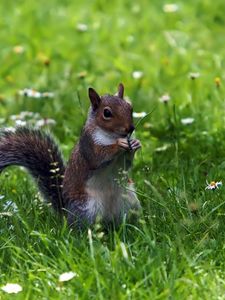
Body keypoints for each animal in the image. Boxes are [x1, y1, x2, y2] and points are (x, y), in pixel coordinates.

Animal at [0, 83, 141, 226]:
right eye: (107, 113)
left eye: (130, 107)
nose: (130, 128)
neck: (111, 136)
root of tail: (66, 212)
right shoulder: (88, 144)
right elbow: (98, 157)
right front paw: (119, 144)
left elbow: (127, 163)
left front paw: (135, 144)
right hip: (86, 208)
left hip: (130, 200)